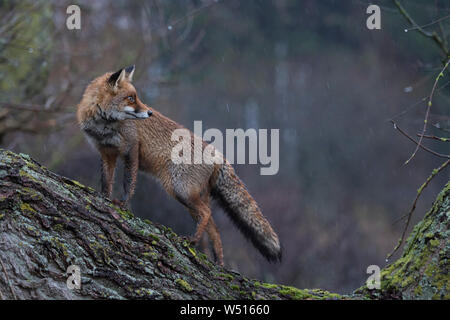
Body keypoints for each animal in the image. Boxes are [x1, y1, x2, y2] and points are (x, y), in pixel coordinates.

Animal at [77, 65, 282, 264]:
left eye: (136, 97)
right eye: (130, 98)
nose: (149, 112)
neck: (104, 126)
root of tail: (216, 153)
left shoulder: (132, 149)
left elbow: (129, 183)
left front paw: (123, 204)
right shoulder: (107, 153)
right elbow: (107, 181)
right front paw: (104, 197)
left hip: (180, 190)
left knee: (206, 214)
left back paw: (193, 241)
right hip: (191, 197)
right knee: (214, 228)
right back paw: (219, 262)